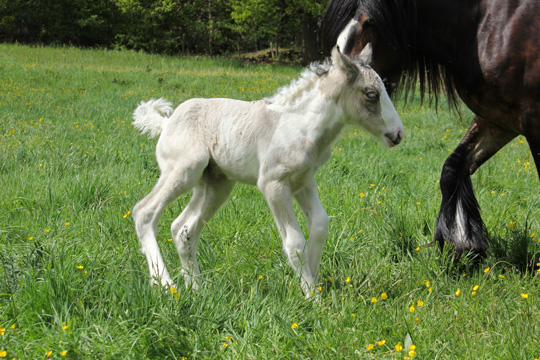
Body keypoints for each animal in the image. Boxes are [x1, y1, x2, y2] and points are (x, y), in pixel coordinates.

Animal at [131, 46, 402, 296]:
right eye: (371, 94)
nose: (397, 134)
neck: (302, 126)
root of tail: (166, 123)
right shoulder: (274, 184)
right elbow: (295, 242)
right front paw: (312, 298)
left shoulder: (304, 181)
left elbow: (320, 224)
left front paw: (313, 281)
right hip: (184, 169)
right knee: (144, 211)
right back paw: (166, 285)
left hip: (216, 184)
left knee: (182, 229)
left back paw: (196, 289)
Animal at [322, 1, 540, 258]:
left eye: (370, 24)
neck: (485, 27)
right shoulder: (498, 120)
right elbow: (453, 168)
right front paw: (464, 245)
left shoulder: (533, 121)